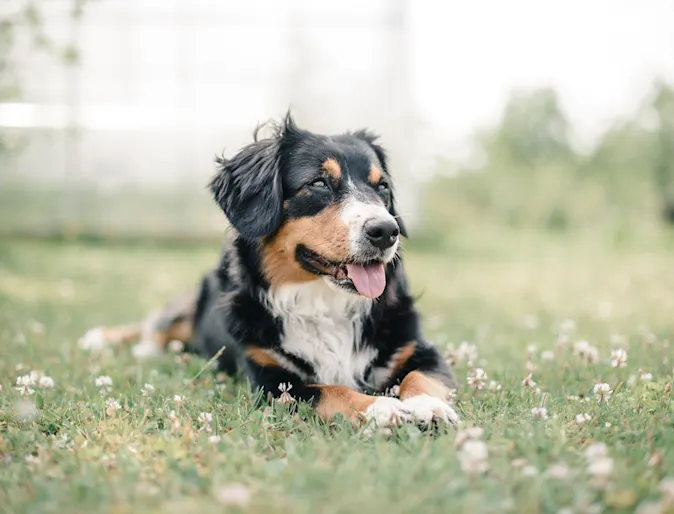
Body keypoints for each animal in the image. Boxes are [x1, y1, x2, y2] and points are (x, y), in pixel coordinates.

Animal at [79, 114, 456, 426]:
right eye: (319, 183)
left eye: (383, 187)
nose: (386, 231)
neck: (323, 303)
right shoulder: (273, 380)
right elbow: (332, 390)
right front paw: (381, 408)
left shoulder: (418, 349)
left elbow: (420, 377)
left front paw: (427, 406)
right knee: (156, 324)